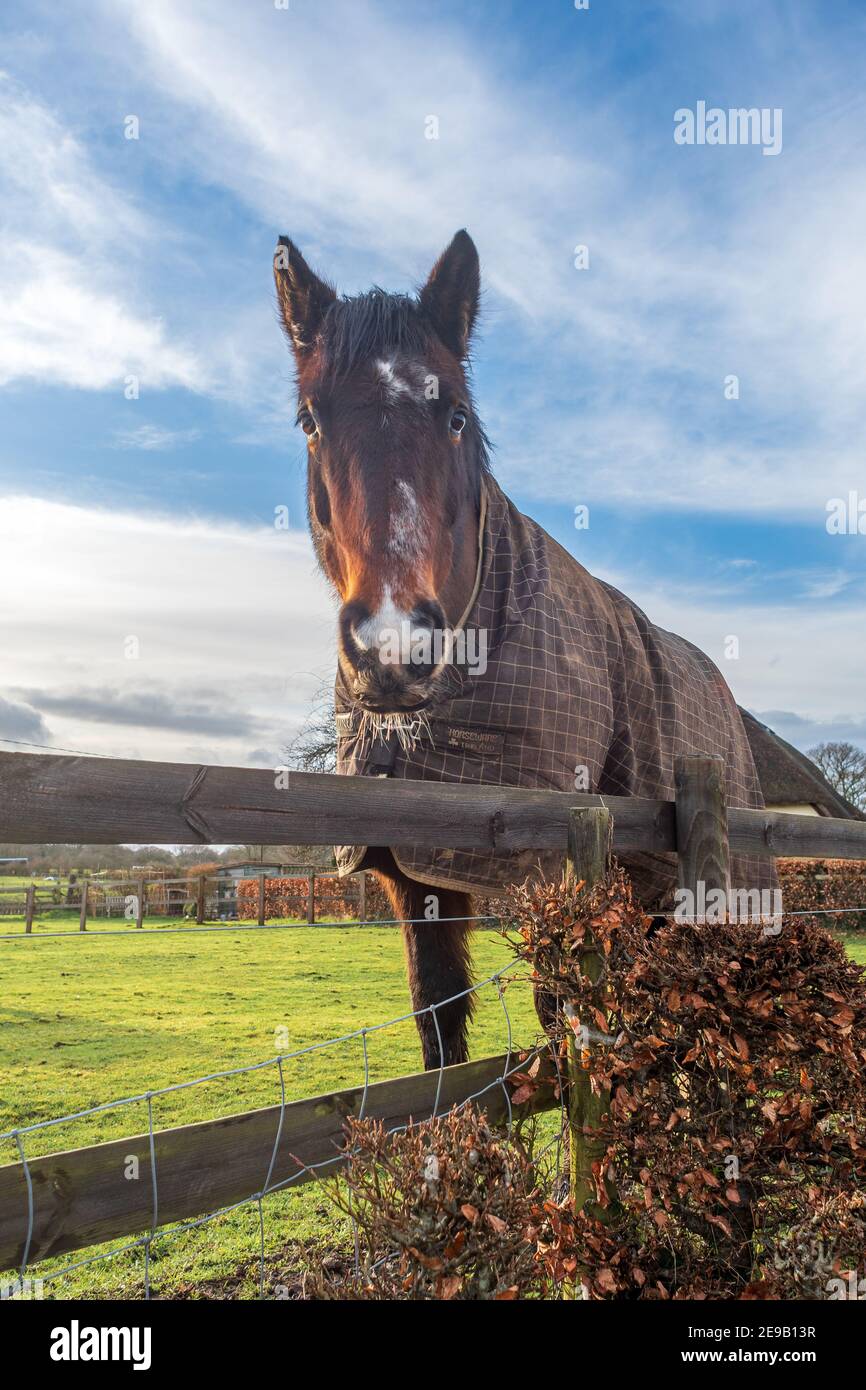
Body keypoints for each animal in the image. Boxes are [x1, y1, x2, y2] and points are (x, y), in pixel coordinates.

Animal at [273, 233, 778, 1067]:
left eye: (456, 414)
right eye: (310, 421)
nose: (394, 646)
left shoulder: (552, 872)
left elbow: (561, 1017)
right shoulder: (414, 870)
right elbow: (439, 1029)